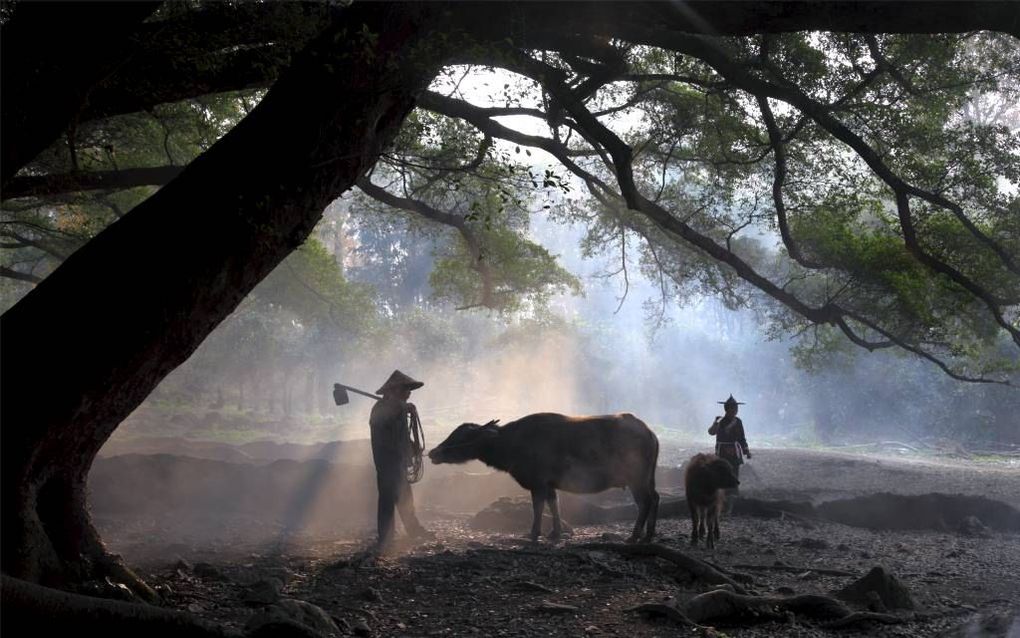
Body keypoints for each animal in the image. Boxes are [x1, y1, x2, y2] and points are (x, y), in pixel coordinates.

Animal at [426, 412, 656, 543]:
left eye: (464, 436)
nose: (432, 452)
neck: (512, 443)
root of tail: (650, 433)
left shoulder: (537, 483)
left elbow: (537, 507)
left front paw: (534, 533)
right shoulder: (549, 484)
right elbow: (554, 504)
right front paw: (555, 533)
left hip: (636, 479)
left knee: (645, 502)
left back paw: (635, 535)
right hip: (647, 478)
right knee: (655, 498)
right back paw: (649, 534)